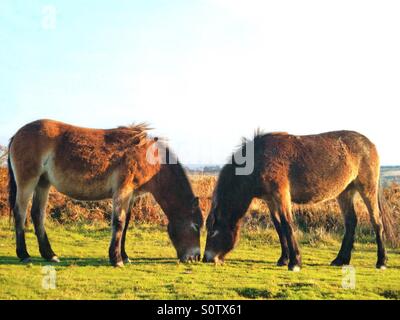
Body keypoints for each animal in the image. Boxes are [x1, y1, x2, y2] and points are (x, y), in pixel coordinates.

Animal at [8, 119, 203, 266]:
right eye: (195, 226)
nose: (195, 258)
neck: (147, 158)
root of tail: (17, 134)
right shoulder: (122, 192)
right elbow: (119, 222)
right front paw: (116, 259)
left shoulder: (131, 196)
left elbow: (125, 225)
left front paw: (124, 255)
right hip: (28, 182)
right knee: (21, 213)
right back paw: (24, 254)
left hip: (43, 183)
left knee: (37, 215)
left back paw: (49, 254)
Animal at [205, 131, 396, 272]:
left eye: (213, 231)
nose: (207, 258)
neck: (258, 159)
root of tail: (370, 144)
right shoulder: (270, 200)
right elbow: (279, 227)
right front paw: (283, 259)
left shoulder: (281, 195)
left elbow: (287, 225)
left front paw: (295, 262)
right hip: (345, 192)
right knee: (351, 222)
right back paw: (341, 259)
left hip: (367, 189)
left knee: (376, 221)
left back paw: (381, 261)